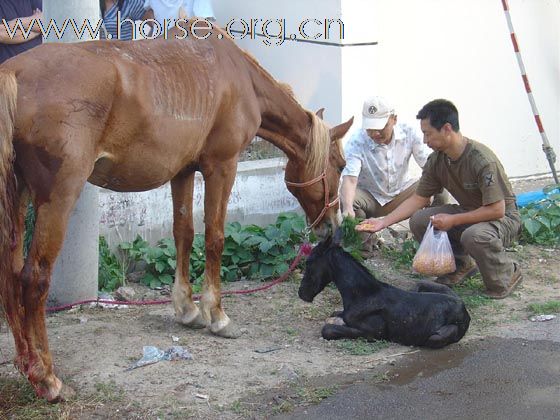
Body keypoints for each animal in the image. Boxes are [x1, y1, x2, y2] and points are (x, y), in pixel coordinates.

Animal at [0, 31, 350, 402]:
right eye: (341, 165)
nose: (333, 227)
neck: (237, 77)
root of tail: (15, 72)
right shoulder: (222, 167)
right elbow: (214, 237)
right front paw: (217, 315)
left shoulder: (183, 171)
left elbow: (184, 233)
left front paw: (187, 309)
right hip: (57, 199)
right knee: (33, 278)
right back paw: (48, 378)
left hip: (18, 194)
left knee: (10, 273)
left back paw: (26, 364)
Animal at [300, 235, 470, 350]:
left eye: (308, 262)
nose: (301, 293)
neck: (362, 294)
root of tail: (464, 310)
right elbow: (334, 314)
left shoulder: (375, 333)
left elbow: (327, 330)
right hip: (421, 284)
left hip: (435, 337)